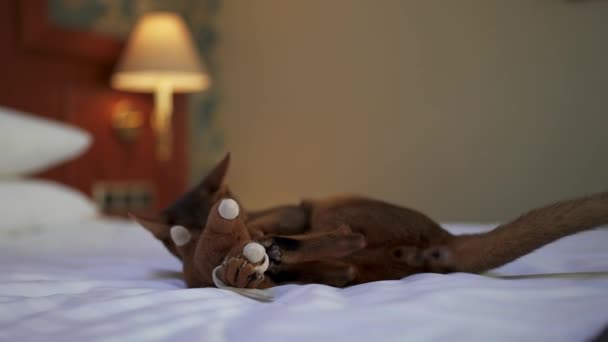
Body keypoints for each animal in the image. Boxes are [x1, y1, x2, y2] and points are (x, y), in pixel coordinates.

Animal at [133, 154, 608, 290]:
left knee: (349, 237)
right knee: (345, 264)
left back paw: (276, 251)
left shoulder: (290, 210)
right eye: (181, 241)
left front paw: (261, 247)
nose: (244, 228)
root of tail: (443, 236)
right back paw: (282, 259)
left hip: (329, 204)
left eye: (233, 205)